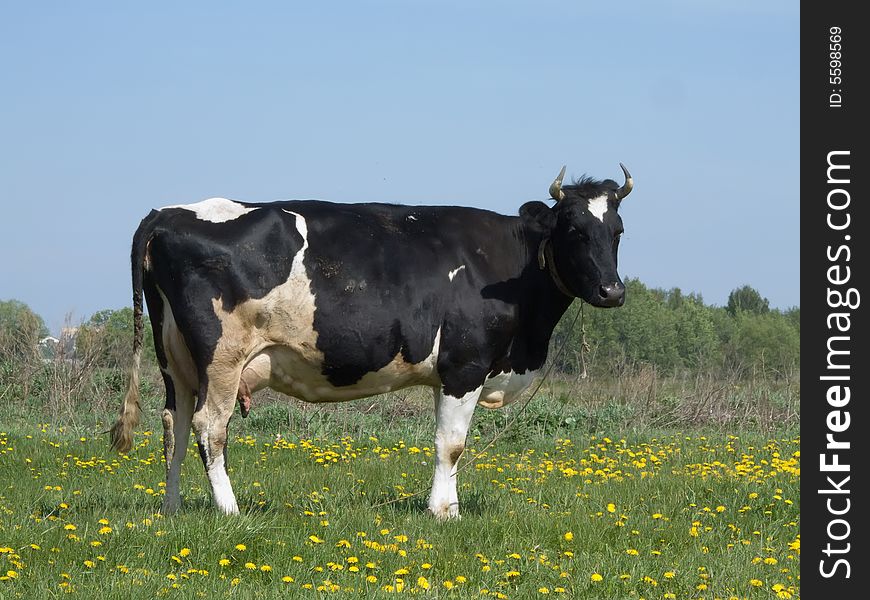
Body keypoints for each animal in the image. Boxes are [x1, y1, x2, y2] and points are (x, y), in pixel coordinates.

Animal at [112, 163, 636, 516]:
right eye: (573, 229)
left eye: (617, 231)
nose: (613, 291)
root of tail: (167, 213)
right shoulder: (464, 367)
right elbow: (452, 444)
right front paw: (443, 513)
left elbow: (448, 444)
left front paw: (447, 508)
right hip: (221, 357)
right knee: (208, 427)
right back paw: (229, 510)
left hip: (175, 358)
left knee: (174, 424)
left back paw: (173, 509)